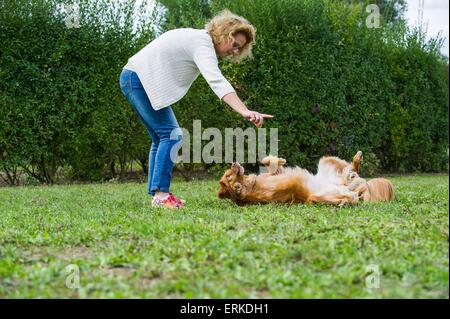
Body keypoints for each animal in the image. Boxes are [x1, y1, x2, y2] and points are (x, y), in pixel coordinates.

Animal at [216, 152, 392, 206]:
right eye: (229, 176)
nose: (233, 163)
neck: (250, 186)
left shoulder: (273, 174)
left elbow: (267, 161)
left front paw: (279, 160)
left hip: (326, 161)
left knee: (351, 169)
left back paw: (357, 158)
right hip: (317, 196)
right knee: (352, 192)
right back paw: (345, 200)